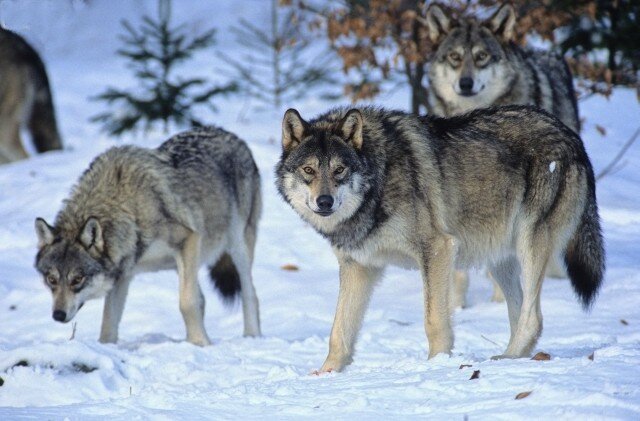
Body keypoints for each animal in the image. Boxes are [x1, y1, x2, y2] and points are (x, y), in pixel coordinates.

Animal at [34, 127, 261, 345]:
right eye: (51, 280)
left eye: (77, 279)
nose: (58, 315)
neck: (126, 207)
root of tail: (231, 135)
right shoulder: (122, 275)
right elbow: (108, 324)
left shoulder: (188, 238)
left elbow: (187, 303)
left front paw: (201, 344)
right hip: (184, 265)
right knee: (203, 299)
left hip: (236, 247)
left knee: (249, 294)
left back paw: (251, 336)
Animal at [276, 105, 604, 372]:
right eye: (309, 170)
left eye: (339, 170)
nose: (325, 201)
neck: (379, 180)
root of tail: (572, 136)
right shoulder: (359, 267)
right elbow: (338, 331)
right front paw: (326, 373)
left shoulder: (437, 249)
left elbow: (434, 320)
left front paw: (437, 364)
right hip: (500, 257)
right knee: (520, 311)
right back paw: (511, 358)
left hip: (529, 242)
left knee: (533, 316)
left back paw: (505, 359)